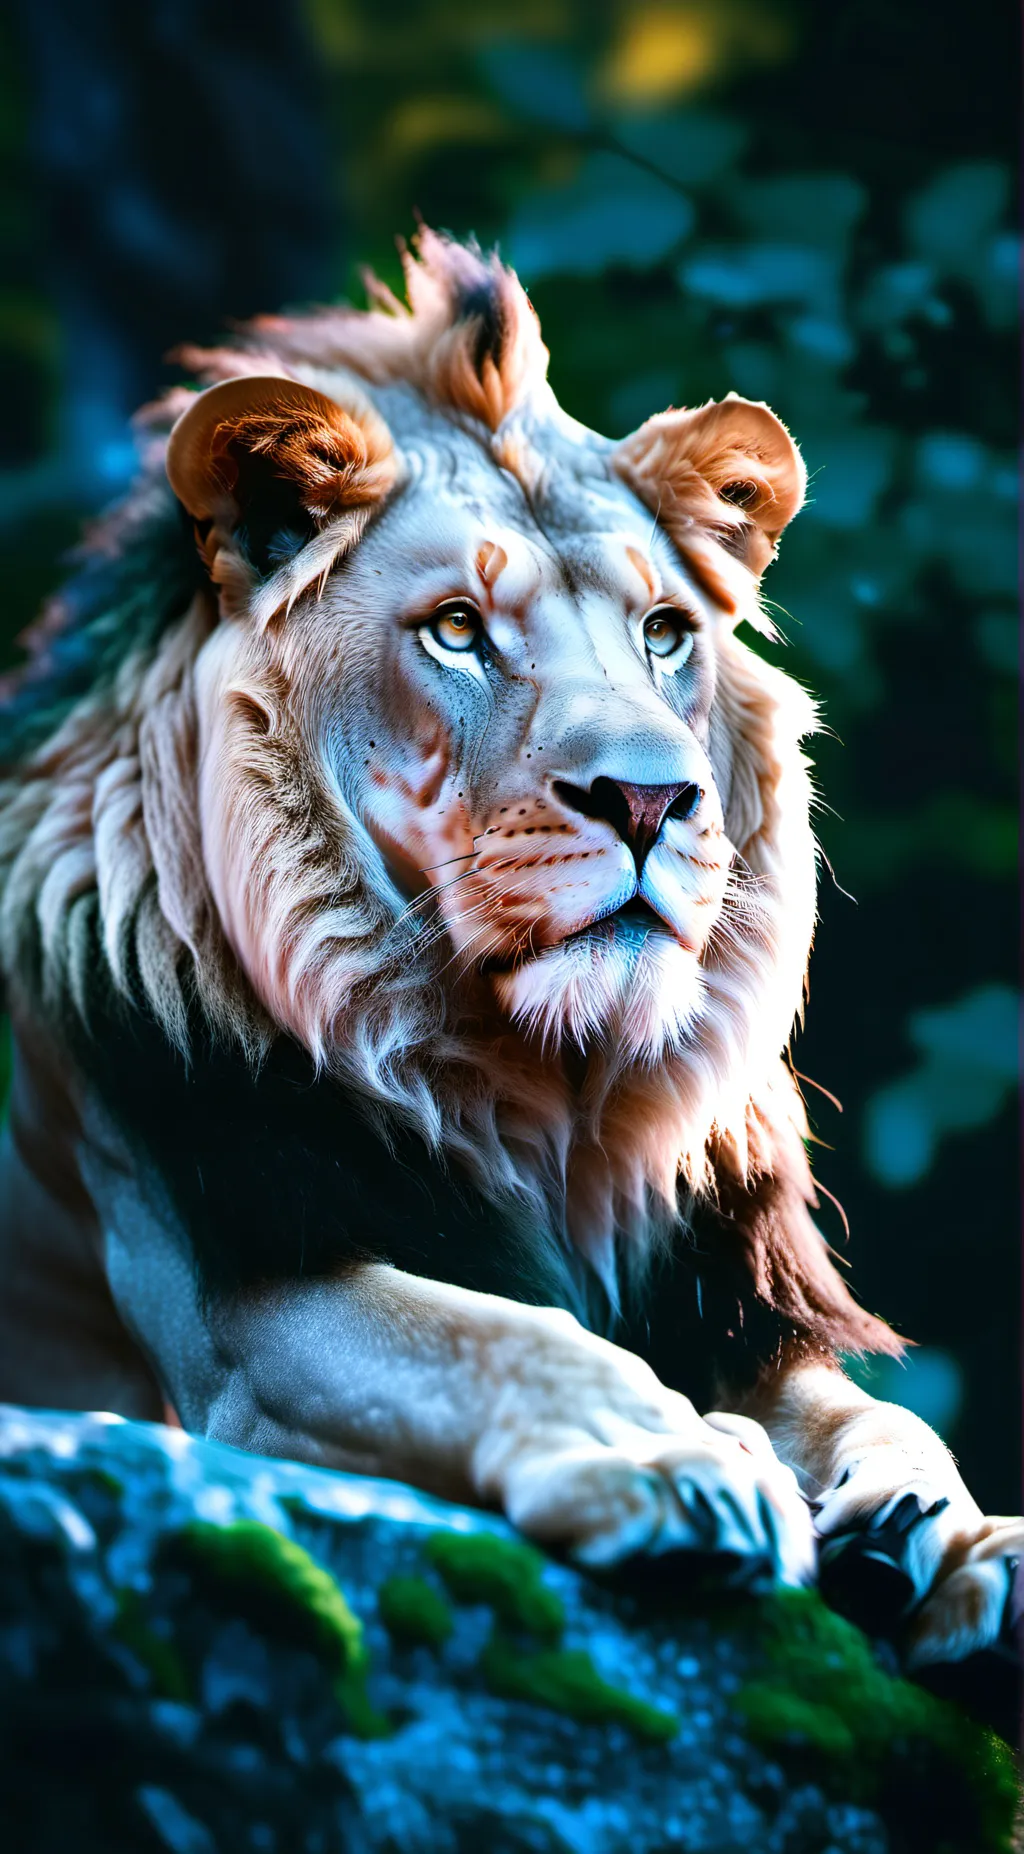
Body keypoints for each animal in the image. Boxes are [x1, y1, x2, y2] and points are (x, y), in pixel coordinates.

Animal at [0, 229, 1016, 1669]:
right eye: (457, 629)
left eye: (664, 633)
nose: (650, 799)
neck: (550, 1099)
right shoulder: (232, 1326)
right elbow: (500, 1333)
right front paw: (675, 1461)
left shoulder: (727, 1308)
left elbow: (877, 1410)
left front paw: (946, 1530)